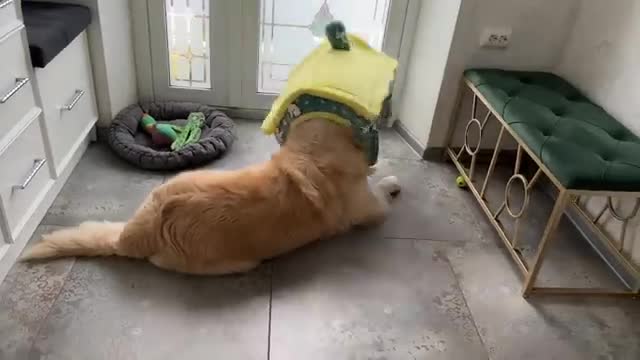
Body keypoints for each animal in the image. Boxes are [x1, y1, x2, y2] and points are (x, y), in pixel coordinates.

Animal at [22, 116, 398, 274]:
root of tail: (136, 235)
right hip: (239, 263)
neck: (314, 153)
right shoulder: (370, 210)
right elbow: (380, 192)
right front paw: (391, 179)